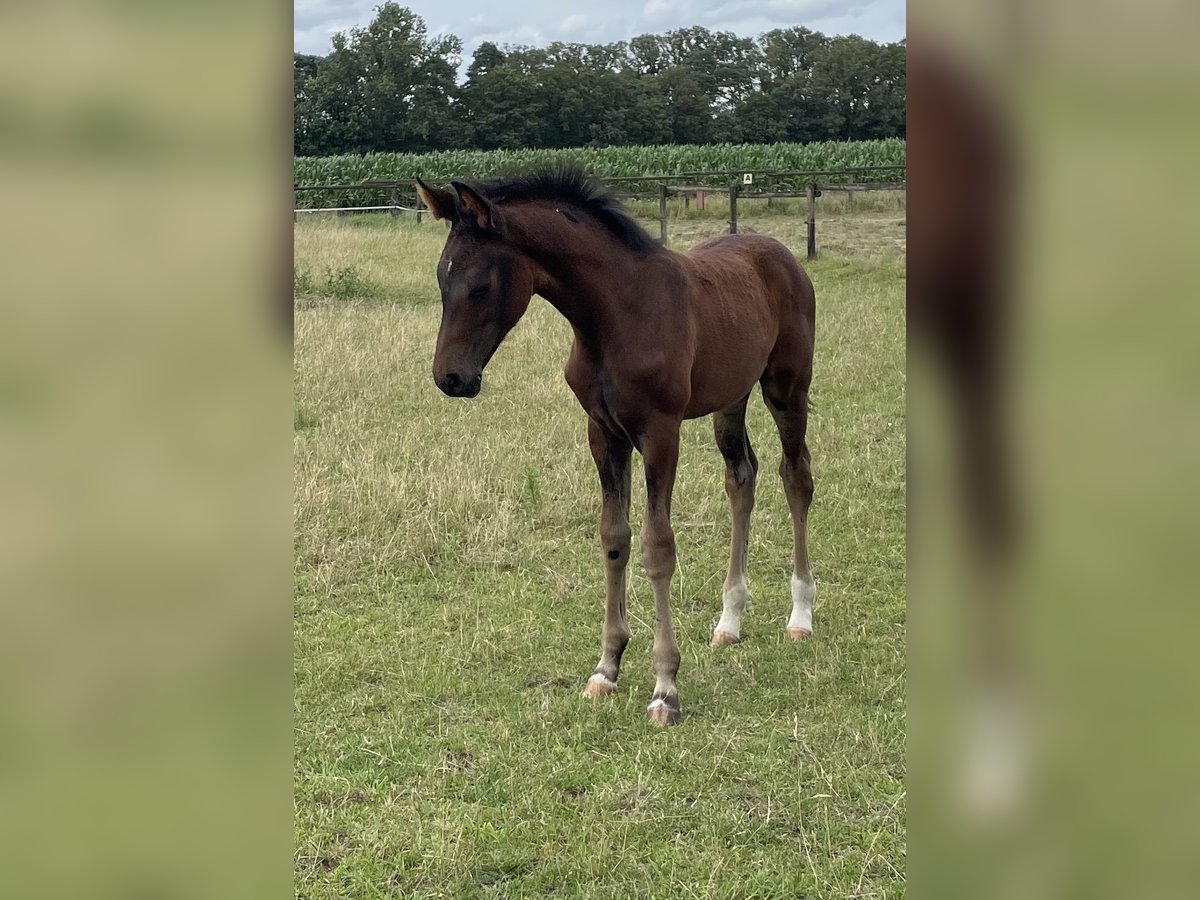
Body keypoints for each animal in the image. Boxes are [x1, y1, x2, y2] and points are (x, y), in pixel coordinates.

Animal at [412, 174, 816, 724]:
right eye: (440, 279)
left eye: (479, 286)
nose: (450, 378)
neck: (615, 314)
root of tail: (782, 252)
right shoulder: (603, 434)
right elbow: (614, 538)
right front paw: (606, 668)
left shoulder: (660, 433)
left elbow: (657, 547)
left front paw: (665, 687)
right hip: (730, 400)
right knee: (742, 479)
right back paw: (728, 622)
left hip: (786, 389)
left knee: (795, 477)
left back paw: (801, 615)